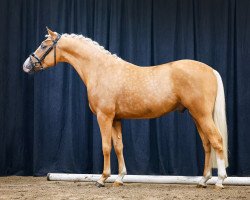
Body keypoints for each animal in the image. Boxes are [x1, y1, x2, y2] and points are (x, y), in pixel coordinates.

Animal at [23, 28, 229, 189]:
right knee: (207, 144)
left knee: (217, 141)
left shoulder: (104, 117)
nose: (26, 65)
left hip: (202, 115)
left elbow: (106, 147)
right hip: (196, 116)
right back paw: (203, 180)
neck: (101, 70)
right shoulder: (116, 119)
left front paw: (102, 178)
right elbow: (119, 146)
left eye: (43, 45)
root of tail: (211, 70)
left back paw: (220, 181)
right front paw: (120, 178)